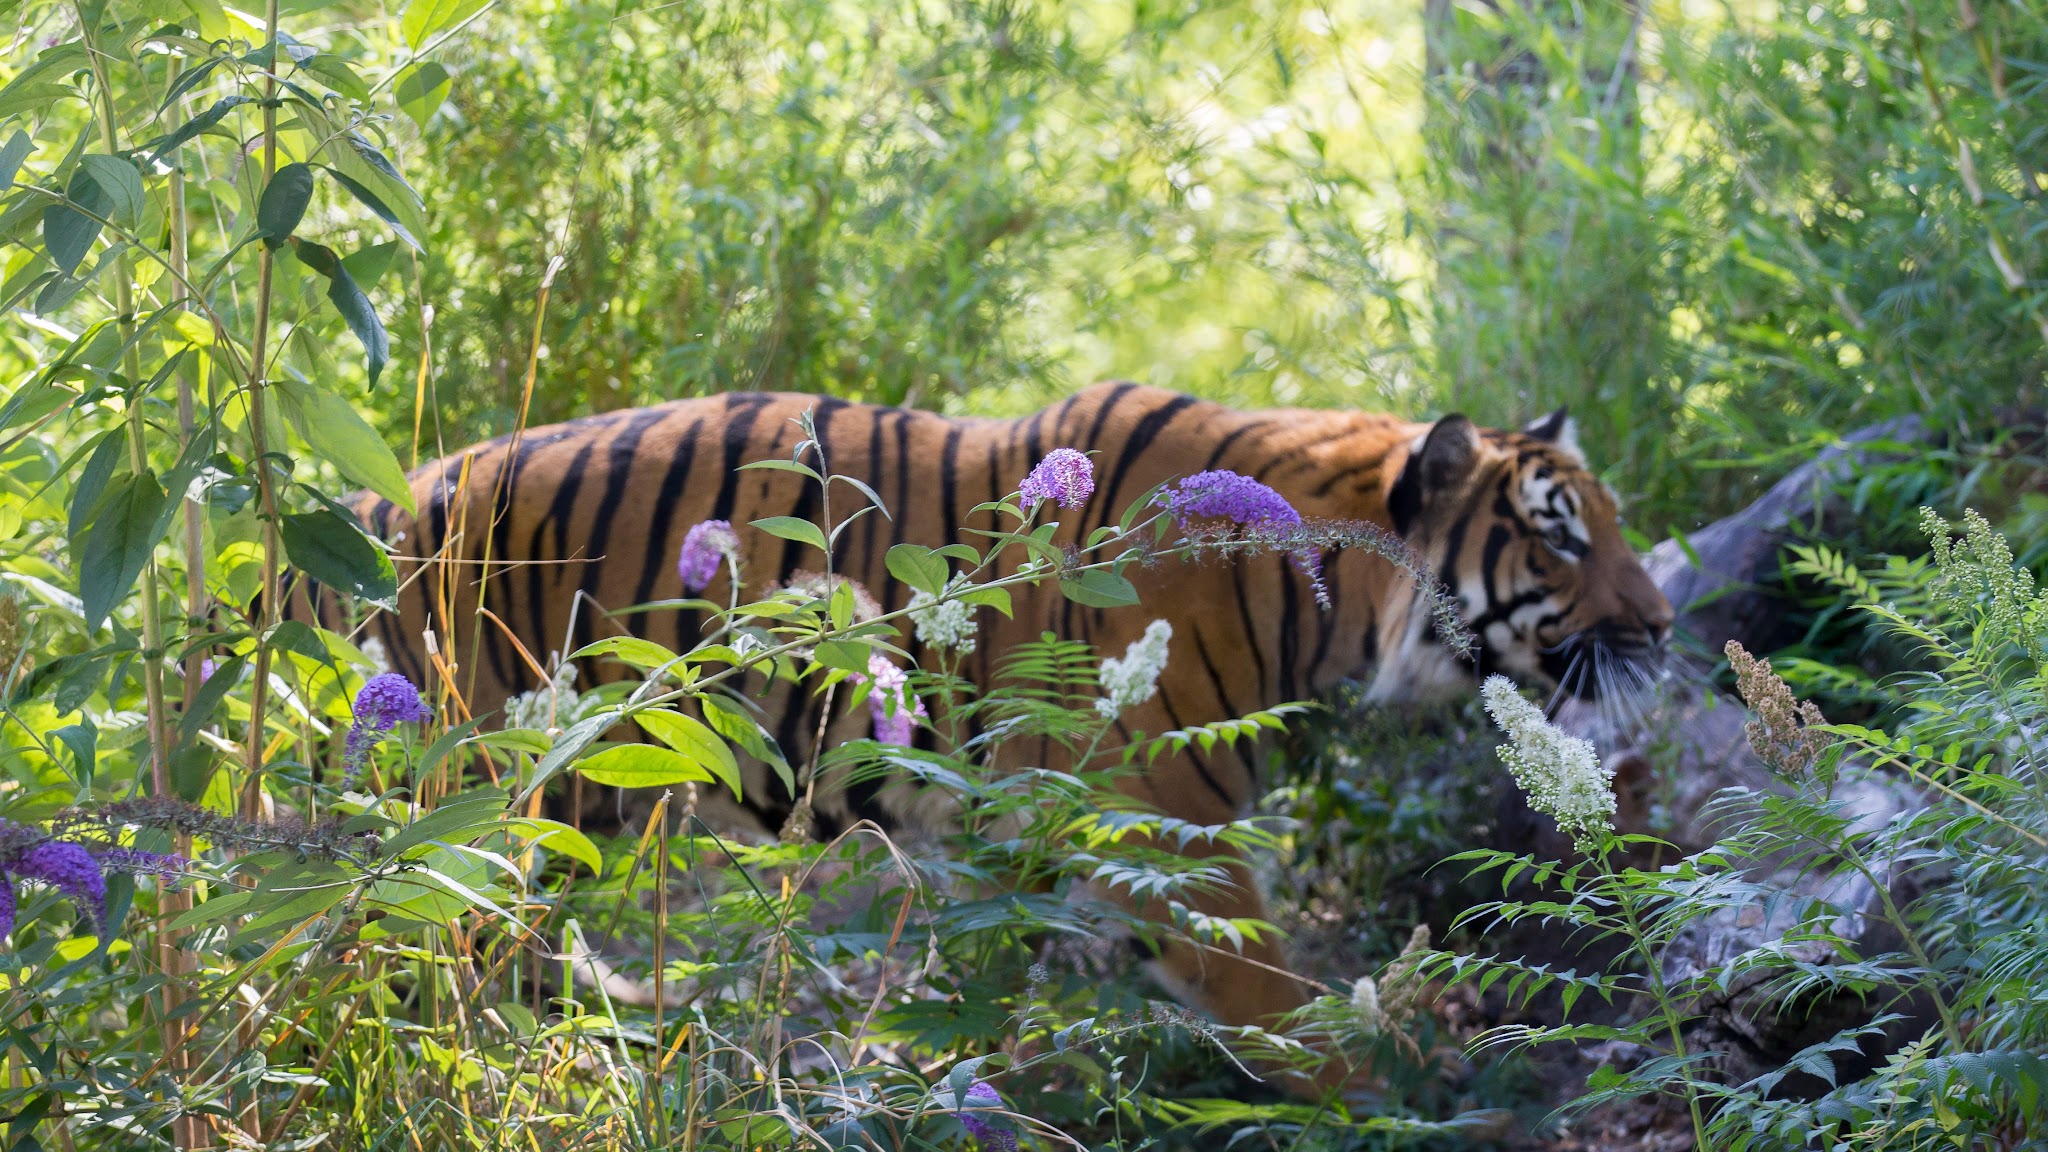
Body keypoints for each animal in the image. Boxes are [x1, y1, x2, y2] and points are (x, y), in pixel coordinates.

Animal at [315, 383, 1662, 1033]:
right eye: (1559, 537)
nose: (1658, 626)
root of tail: (384, 502)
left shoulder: (1043, 822)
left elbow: (1002, 973)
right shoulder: (1161, 814)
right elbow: (1267, 992)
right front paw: (1383, 1080)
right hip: (494, 782)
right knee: (441, 945)